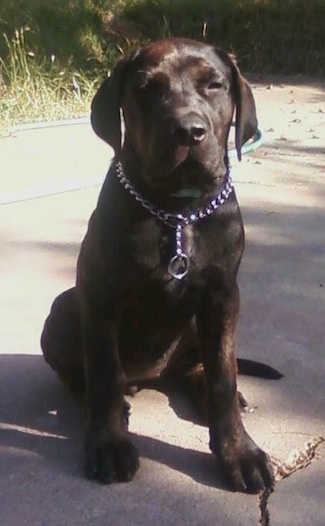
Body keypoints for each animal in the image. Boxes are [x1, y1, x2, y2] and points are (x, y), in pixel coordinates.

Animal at [40, 38, 274, 496]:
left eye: (214, 85)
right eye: (147, 89)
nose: (188, 131)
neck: (177, 211)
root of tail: (150, 375)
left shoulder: (222, 296)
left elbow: (224, 374)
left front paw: (238, 452)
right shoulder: (100, 293)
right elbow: (104, 374)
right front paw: (109, 445)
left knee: (199, 368)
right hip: (64, 307)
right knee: (83, 374)